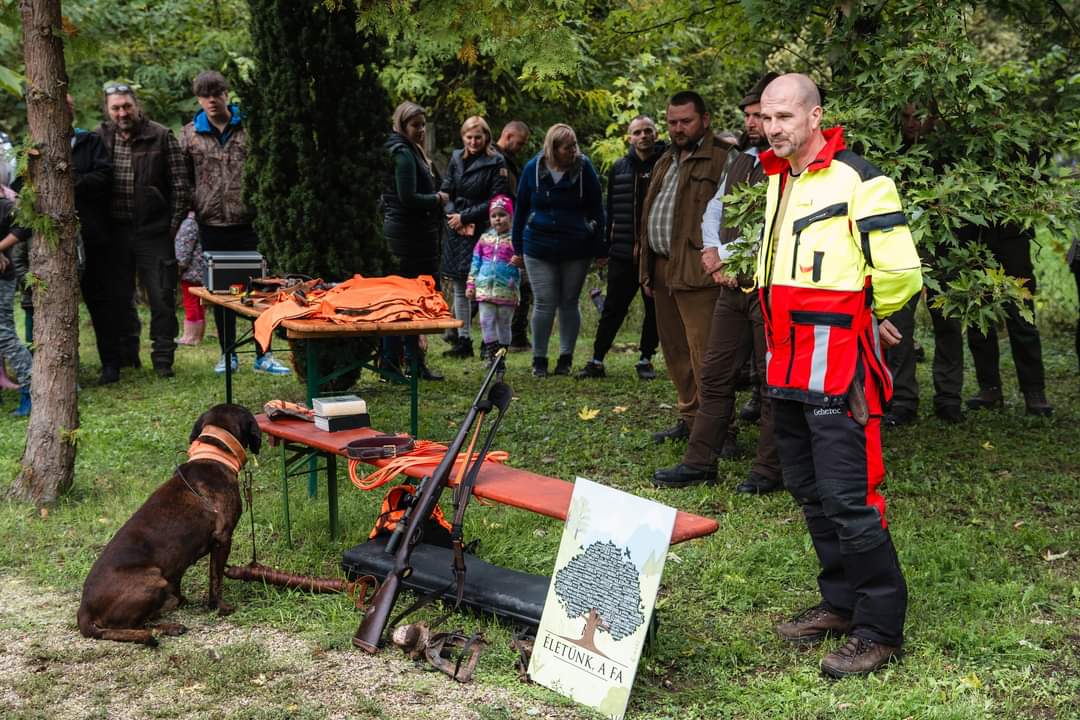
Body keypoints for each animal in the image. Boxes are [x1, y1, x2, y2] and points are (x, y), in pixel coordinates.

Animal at [77, 403, 261, 643]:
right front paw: (219, 607)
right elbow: (216, 579)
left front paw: (181, 599)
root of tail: (84, 611)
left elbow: (180, 579)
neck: (214, 455)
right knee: (134, 626)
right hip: (154, 580)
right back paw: (167, 628)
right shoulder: (222, 538)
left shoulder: (179, 563)